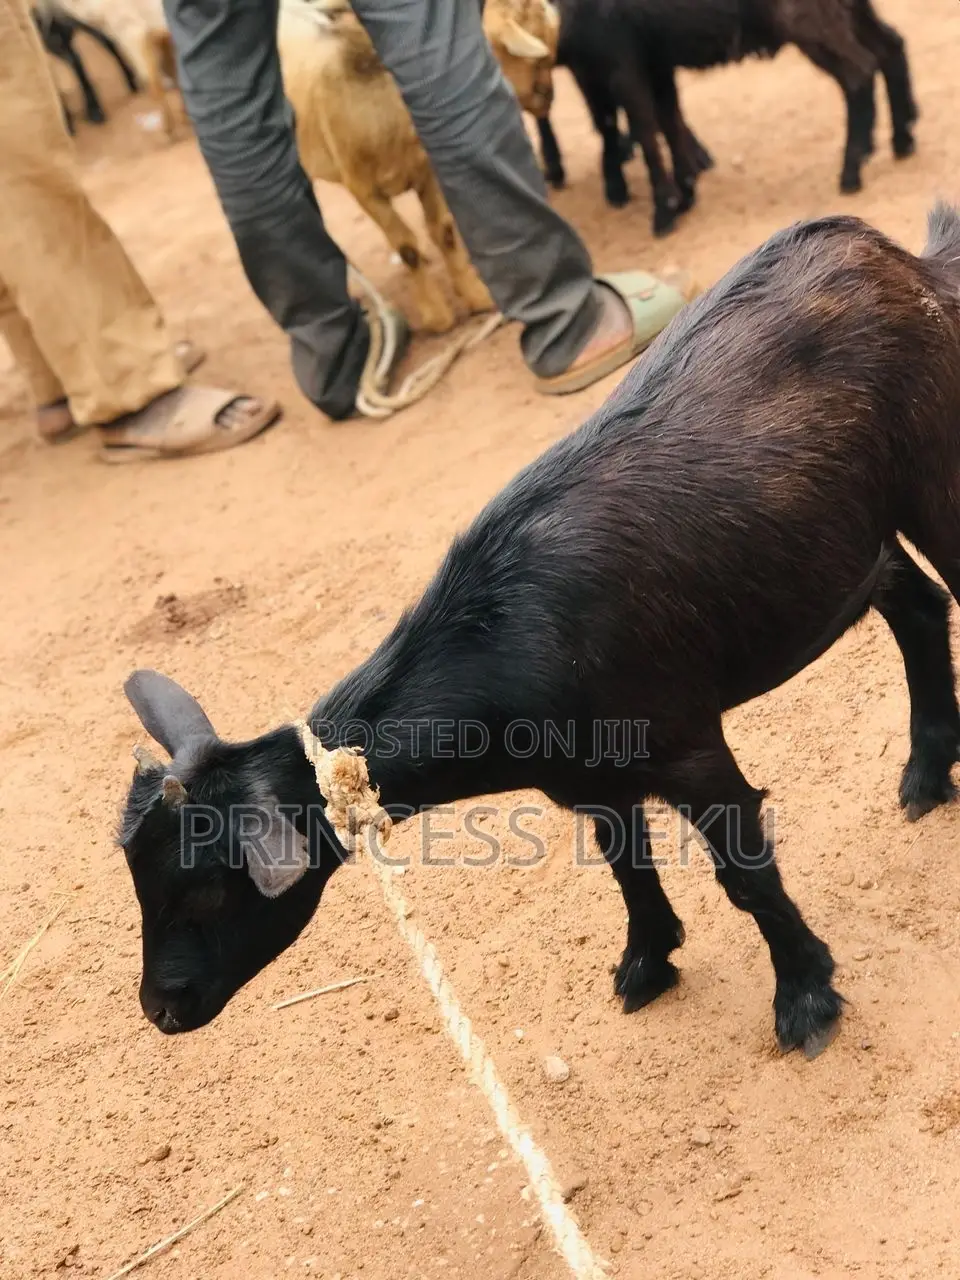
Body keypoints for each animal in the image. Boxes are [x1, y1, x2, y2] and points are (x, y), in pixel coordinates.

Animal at [119, 203, 960, 1057]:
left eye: (206, 890)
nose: (162, 1009)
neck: (506, 651)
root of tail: (896, 255)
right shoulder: (590, 781)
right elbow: (626, 866)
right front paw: (646, 964)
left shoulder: (688, 748)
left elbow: (744, 876)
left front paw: (805, 998)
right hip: (848, 533)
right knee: (919, 608)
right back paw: (927, 775)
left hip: (934, 471)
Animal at [554, 0, 917, 235]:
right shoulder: (655, 61)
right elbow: (669, 120)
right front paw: (685, 193)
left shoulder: (622, 64)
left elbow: (644, 130)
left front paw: (664, 211)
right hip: (852, 12)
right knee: (891, 46)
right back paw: (902, 140)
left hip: (811, 22)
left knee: (859, 72)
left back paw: (851, 170)